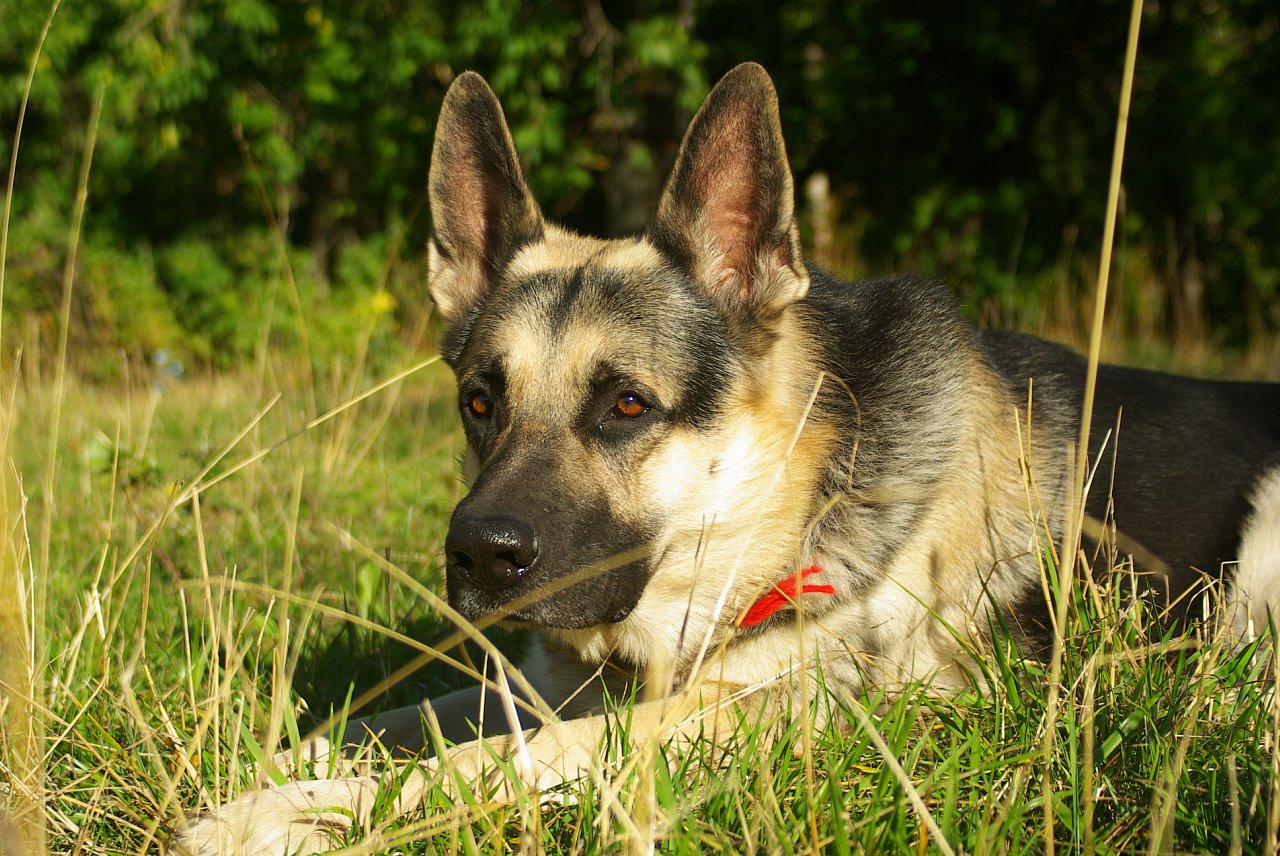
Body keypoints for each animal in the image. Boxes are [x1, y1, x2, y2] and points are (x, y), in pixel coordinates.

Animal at [177, 63, 1280, 849]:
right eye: (479, 403)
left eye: (626, 404)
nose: (478, 557)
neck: (778, 512)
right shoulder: (543, 680)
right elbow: (407, 714)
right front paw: (277, 755)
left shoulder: (743, 717)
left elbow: (485, 760)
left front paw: (281, 812)